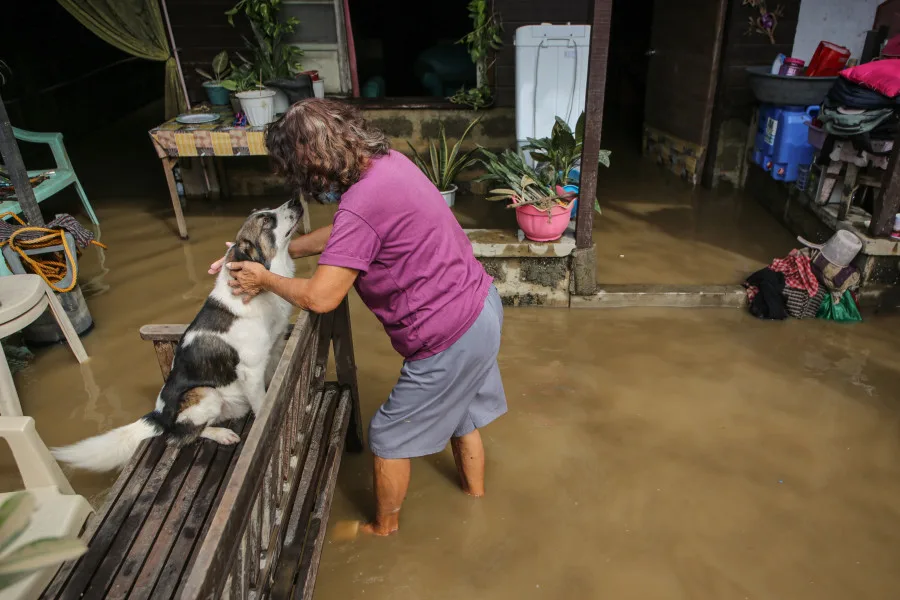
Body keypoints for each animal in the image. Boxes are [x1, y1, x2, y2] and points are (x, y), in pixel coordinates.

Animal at [54, 199, 304, 472]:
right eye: (266, 221)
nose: (295, 199)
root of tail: (159, 416)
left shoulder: (276, 347)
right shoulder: (251, 370)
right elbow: (262, 404)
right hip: (205, 394)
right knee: (181, 435)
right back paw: (221, 434)